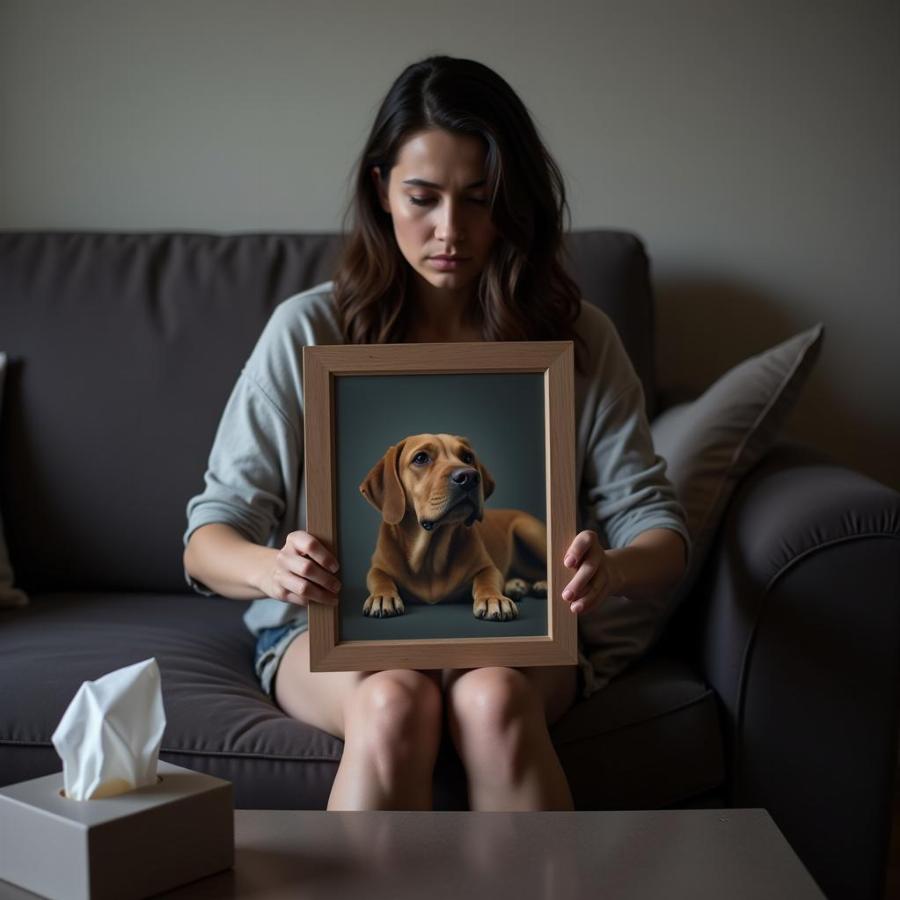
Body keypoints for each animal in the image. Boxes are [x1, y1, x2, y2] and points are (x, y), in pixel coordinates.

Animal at [358, 434, 548, 620]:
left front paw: (493, 598)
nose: (470, 477)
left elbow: (487, 579)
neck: (430, 558)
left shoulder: (488, 567)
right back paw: (515, 585)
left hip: (527, 529)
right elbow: (380, 578)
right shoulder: (377, 568)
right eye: (421, 458)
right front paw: (382, 596)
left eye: (467, 457)